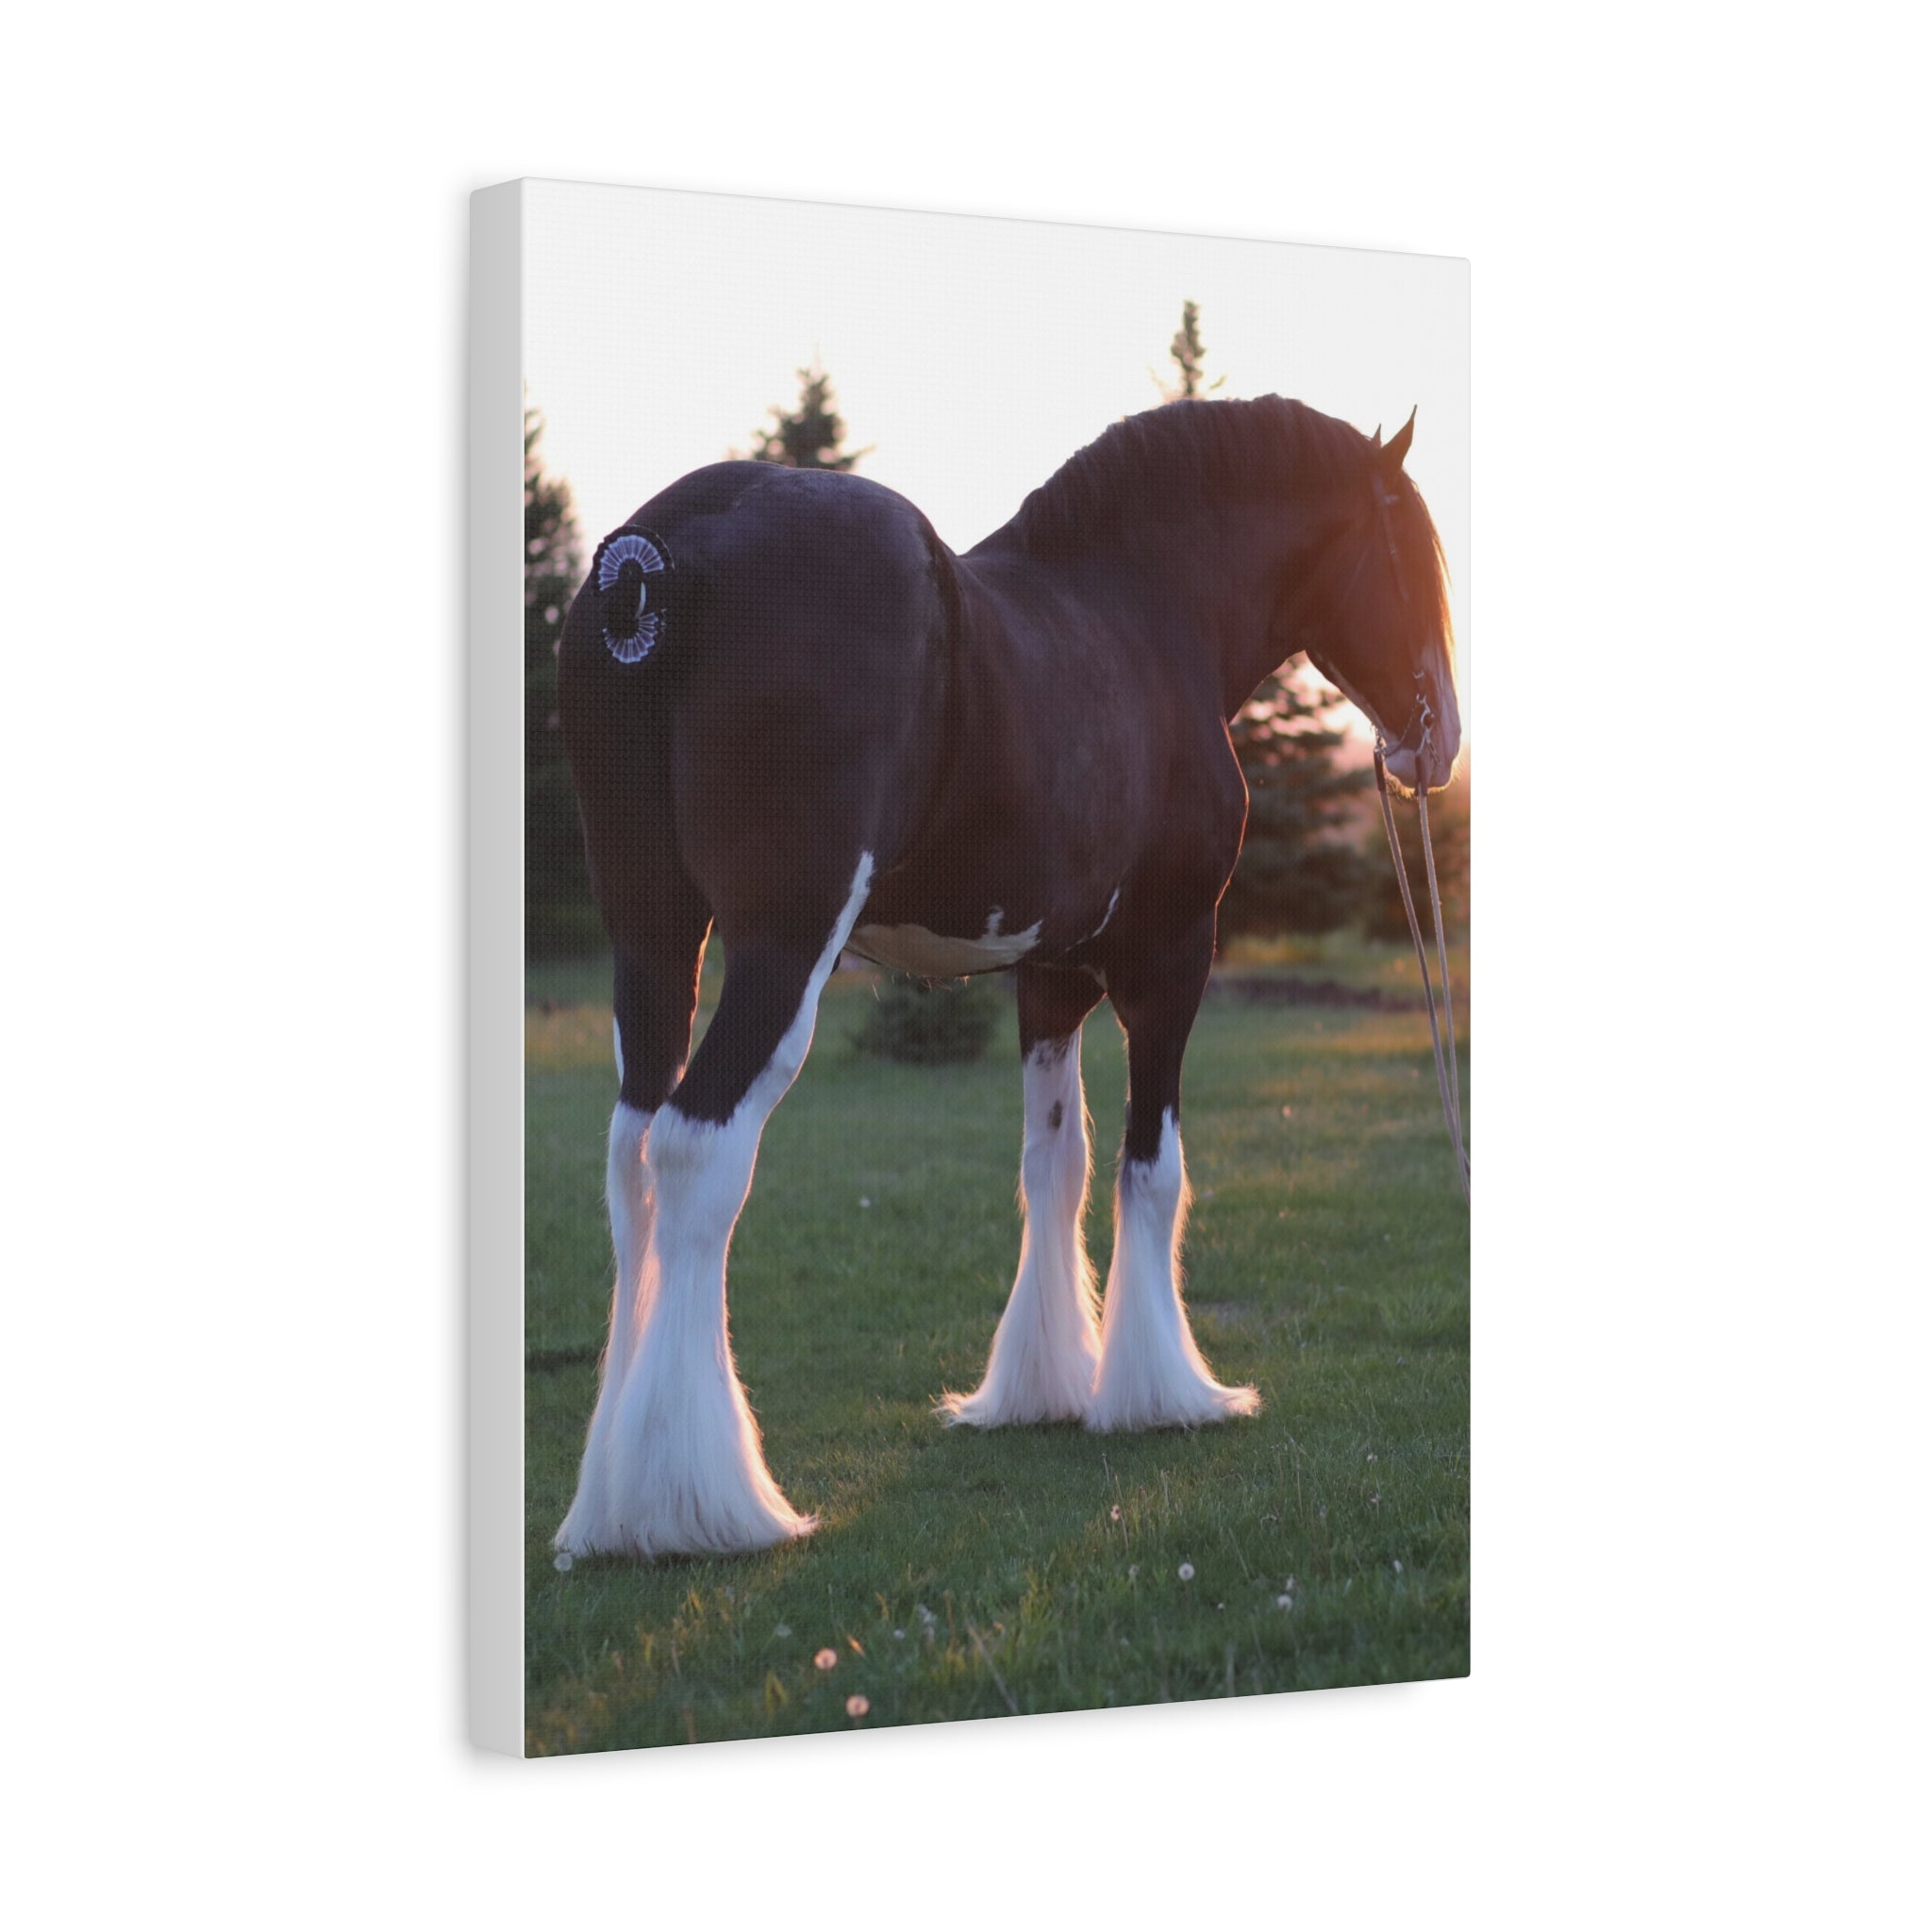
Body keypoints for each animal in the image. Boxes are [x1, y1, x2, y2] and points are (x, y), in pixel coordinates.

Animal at [551, 394, 1460, 1562]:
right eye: (1411, 550)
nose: (1436, 740)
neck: (1140, 612)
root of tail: (651, 559)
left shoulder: (1047, 974)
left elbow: (1053, 1165)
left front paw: (1042, 1384)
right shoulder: (1172, 957)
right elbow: (1150, 1168)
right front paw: (1159, 1392)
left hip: (655, 933)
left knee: (630, 1156)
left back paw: (607, 1503)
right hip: (780, 943)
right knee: (697, 1149)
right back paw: (697, 1504)